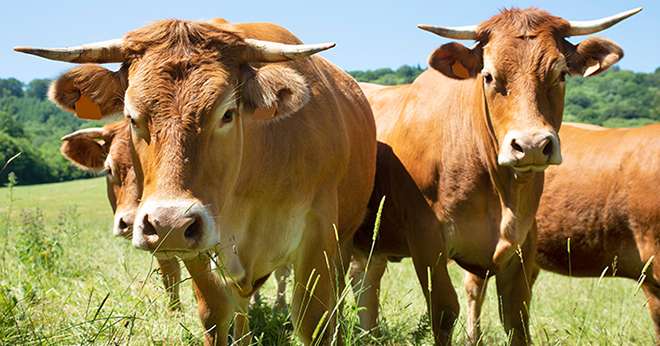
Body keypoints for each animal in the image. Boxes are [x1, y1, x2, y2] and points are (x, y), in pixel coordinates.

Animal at [16, 19, 376, 346]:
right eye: (132, 116)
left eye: (227, 113)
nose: (168, 223)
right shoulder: (199, 244)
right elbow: (215, 312)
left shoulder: (319, 233)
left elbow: (315, 321)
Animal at [350, 6, 640, 344]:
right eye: (488, 76)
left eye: (561, 73)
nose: (531, 145)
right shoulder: (426, 240)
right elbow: (444, 312)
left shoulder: (522, 245)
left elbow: (516, 320)